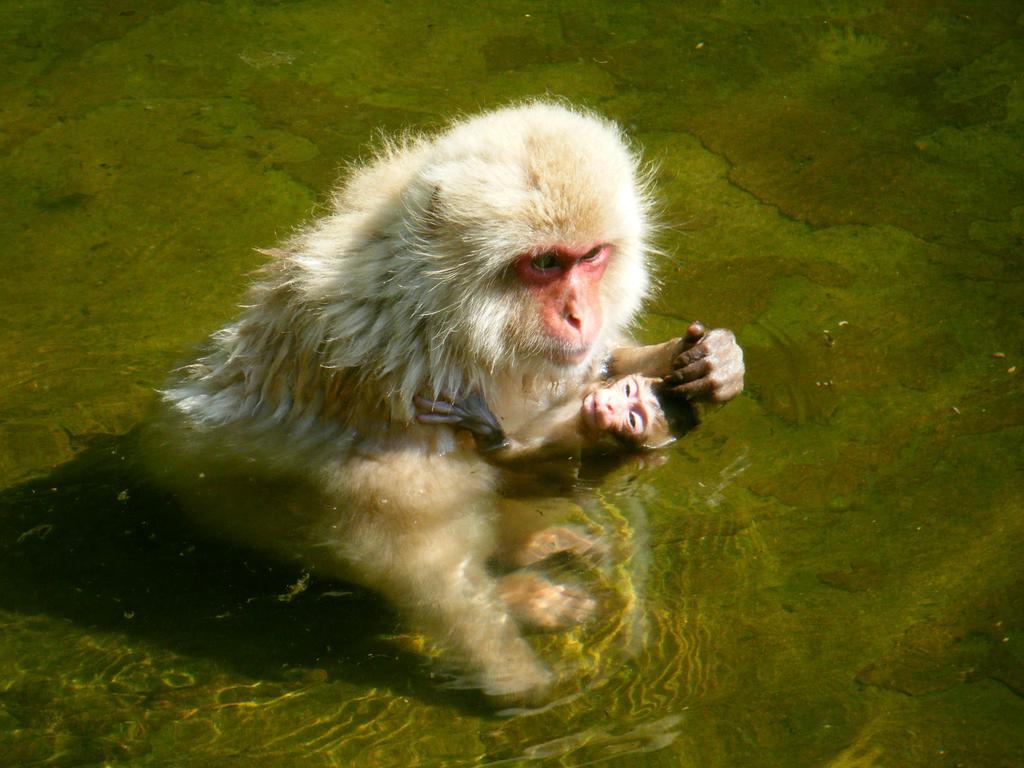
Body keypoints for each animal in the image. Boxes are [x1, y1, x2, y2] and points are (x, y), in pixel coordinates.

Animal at [149, 100, 745, 704]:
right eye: (545, 263)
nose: (580, 314)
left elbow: (589, 379)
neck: (447, 320)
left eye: (591, 257)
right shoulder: (403, 393)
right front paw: (522, 681)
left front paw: (708, 363)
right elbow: (415, 552)